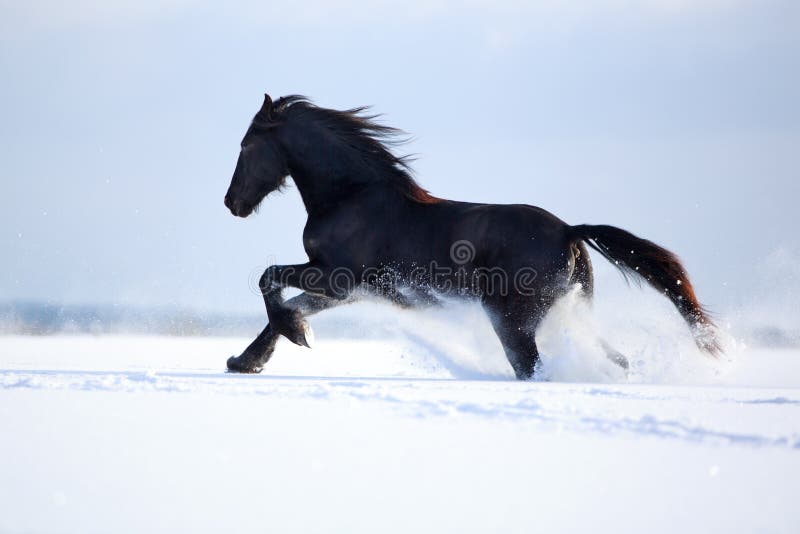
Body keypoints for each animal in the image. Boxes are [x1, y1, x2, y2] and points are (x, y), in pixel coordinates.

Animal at [223, 96, 720, 382]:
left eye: (246, 145)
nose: (231, 203)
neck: (351, 195)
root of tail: (569, 232)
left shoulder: (337, 277)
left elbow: (269, 281)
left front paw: (295, 337)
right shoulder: (347, 290)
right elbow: (286, 307)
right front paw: (246, 361)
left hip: (513, 321)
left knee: (531, 367)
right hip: (567, 313)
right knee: (613, 359)